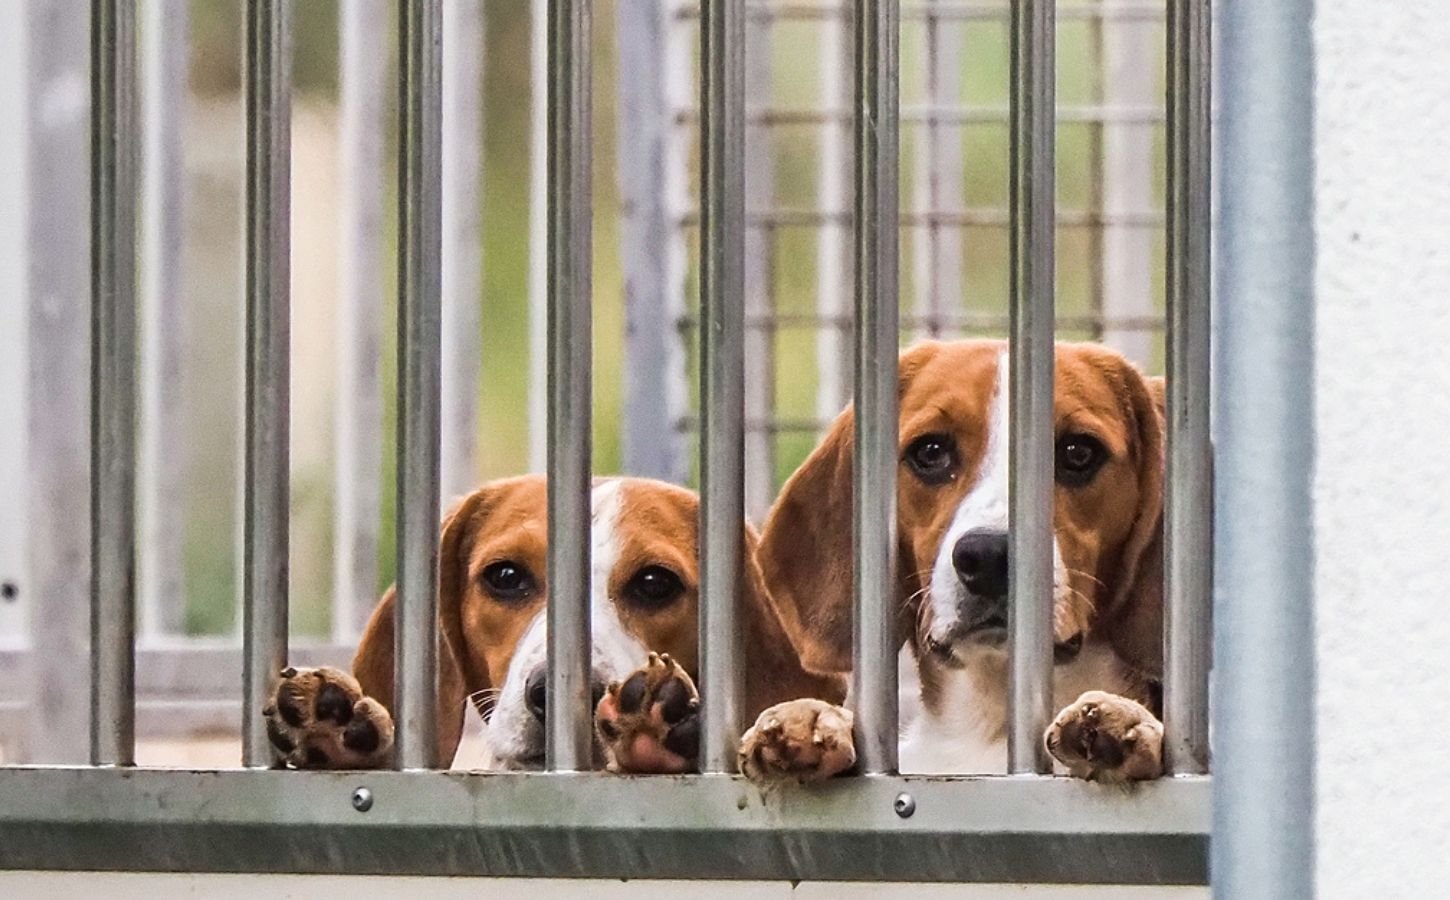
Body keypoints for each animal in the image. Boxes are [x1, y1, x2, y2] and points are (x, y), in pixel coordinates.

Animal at [754, 339, 1171, 776]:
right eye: (930, 451)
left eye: (1078, 452)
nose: (988, 558)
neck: (992, 722)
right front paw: (811, 722)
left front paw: (1123, 725)